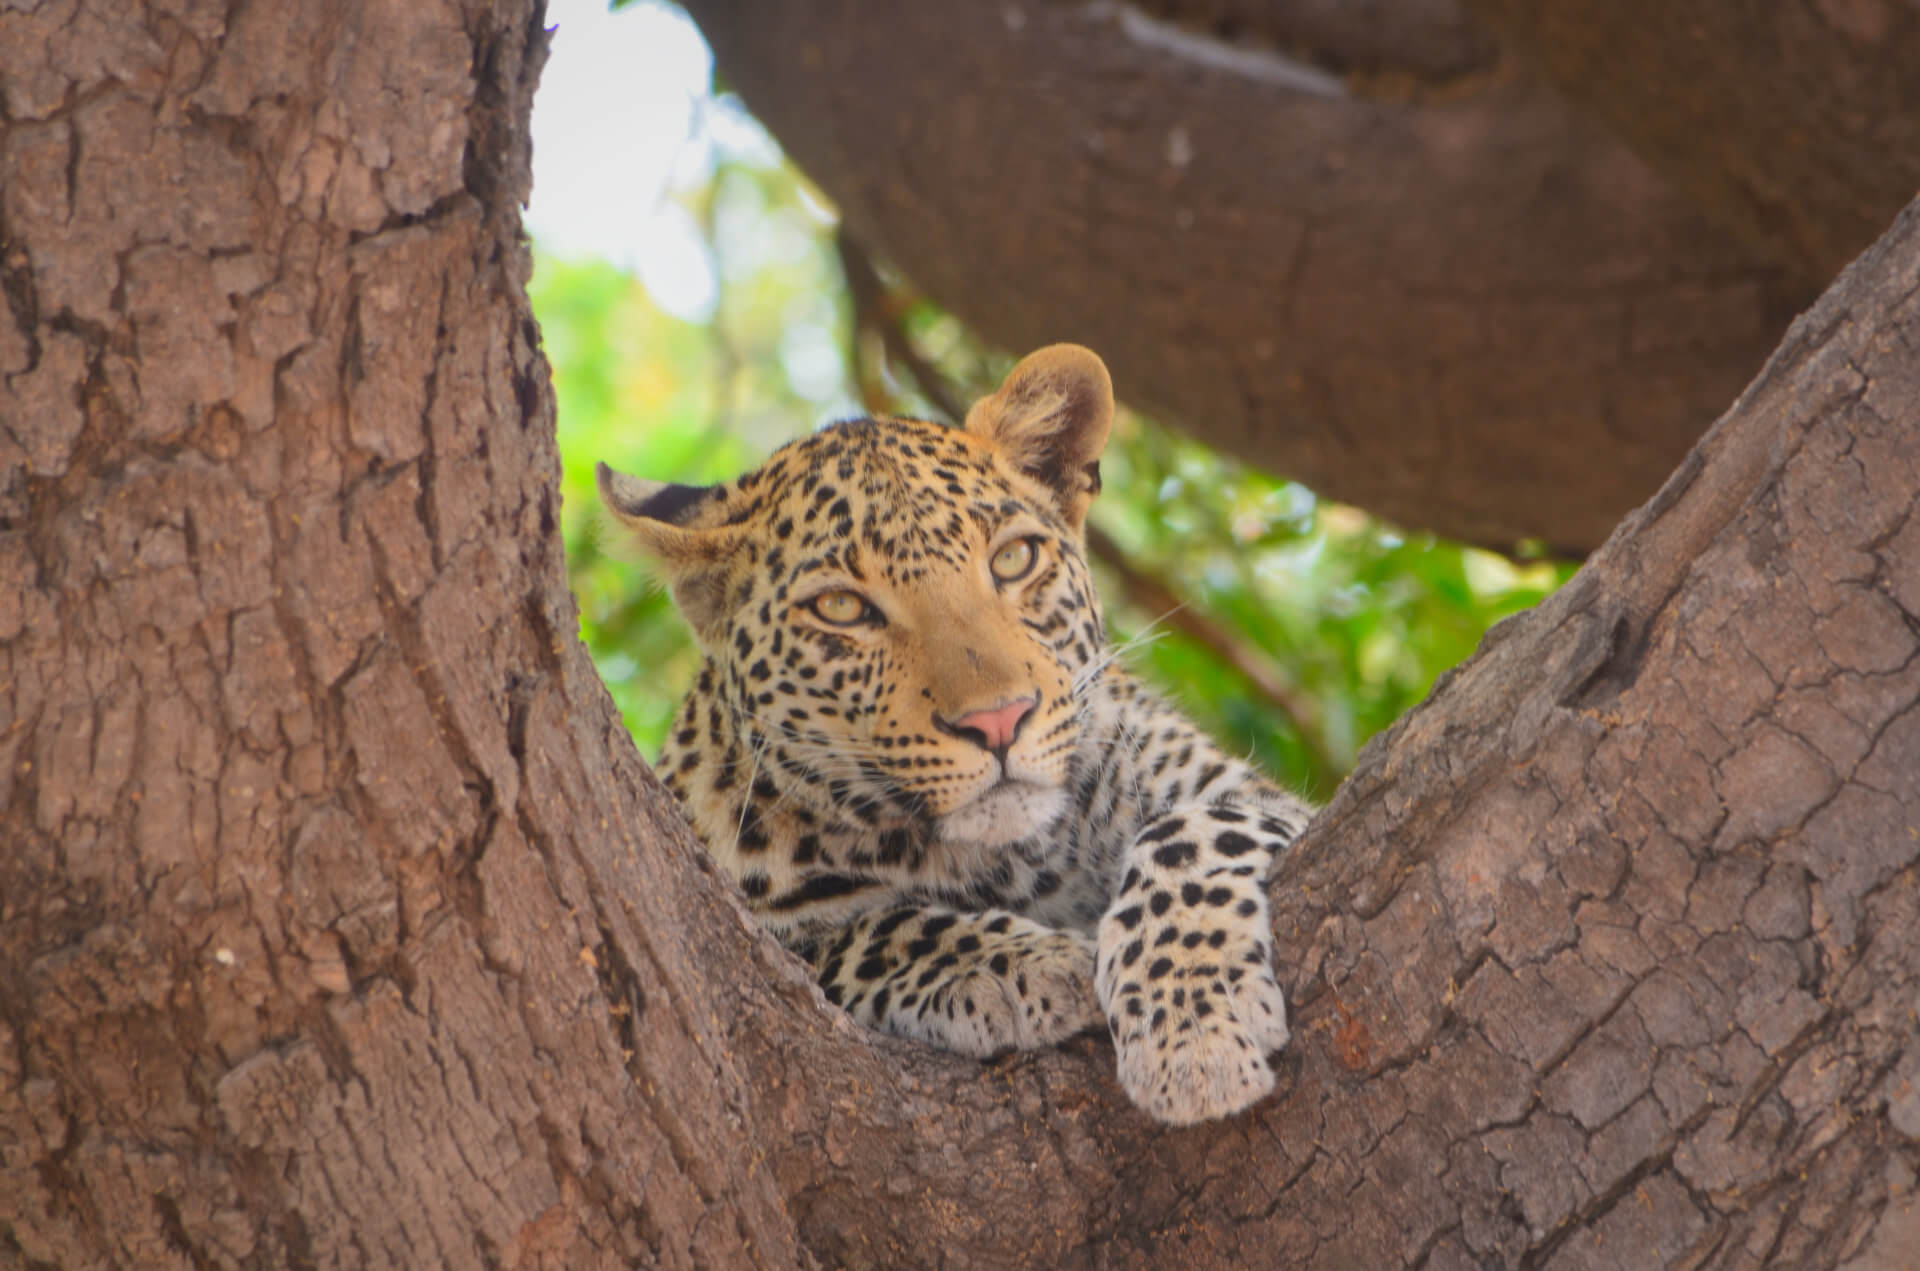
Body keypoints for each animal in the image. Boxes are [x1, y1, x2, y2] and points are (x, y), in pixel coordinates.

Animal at [597, 345, 1314, 1124]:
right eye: (842, 607)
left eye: (1013, 560)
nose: (998, 720)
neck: (1016, 862)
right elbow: (861, 932)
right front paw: (1034, 965)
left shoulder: (1240, 791)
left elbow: (1194, 828)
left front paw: (1191, 1026)